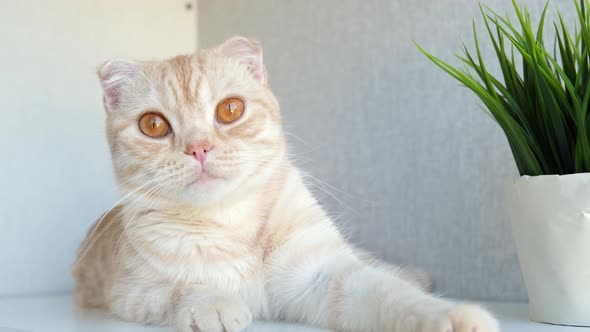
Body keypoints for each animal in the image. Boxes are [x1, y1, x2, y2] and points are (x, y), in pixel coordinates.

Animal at [71, 36, 502, 332]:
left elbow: (386, 293)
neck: (230, 222)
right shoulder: (131, 292)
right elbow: (181, 287)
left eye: (230, 109)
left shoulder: (323, 275)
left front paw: (450, 316)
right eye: (153, 125)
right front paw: (211, 302)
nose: (199, 148)